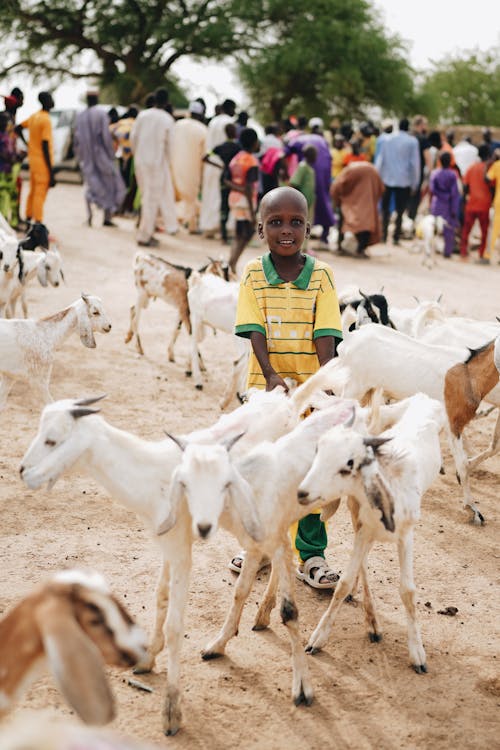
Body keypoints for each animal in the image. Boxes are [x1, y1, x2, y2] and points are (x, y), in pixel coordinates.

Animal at [294, 394, 444, 676]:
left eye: (349, 463)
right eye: (319, 450)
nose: (302, 492)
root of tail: (422, 398)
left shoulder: (406, 536)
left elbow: (408, 591)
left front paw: (418, 655)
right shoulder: (363, 529)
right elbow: (343, 583)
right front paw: (316, 640)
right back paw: (371, 622)